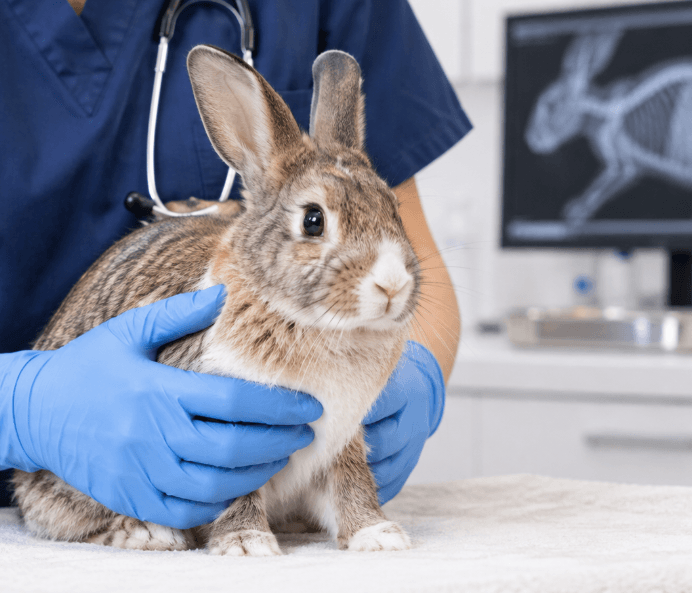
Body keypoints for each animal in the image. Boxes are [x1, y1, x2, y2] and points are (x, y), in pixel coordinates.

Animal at [524, 31, 692, 226]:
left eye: (550, 105)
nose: (532, 140)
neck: (601, 112)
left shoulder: (623, 166)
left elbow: (605, 183)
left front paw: (577, 212)